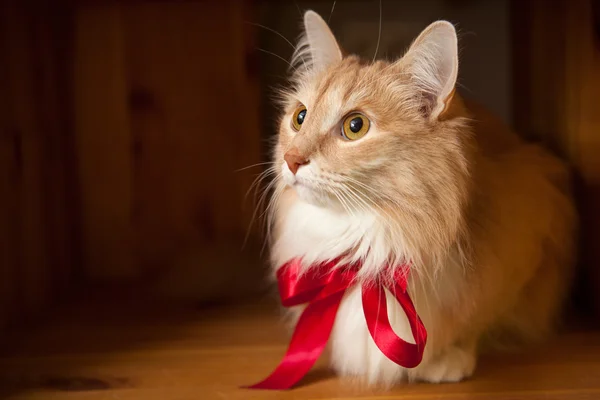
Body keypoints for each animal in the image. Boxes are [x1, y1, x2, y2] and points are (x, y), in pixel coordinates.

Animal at [264, 10, 580, 388]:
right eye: (300, 117)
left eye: (355, 126)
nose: (291, 159)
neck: (368, 243)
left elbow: (476, 321)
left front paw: (449, 357)